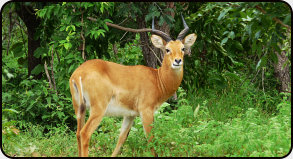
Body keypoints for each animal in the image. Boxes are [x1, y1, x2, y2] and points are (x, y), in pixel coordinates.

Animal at [69, 15, 196, 157]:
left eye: (182, 48)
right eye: (167, 49)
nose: (178, 61)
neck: (158, 79)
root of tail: (78, 74)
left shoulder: (130, 115)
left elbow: (121, 139)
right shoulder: (146, 111)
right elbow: (151, 139)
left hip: (79, 108)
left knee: (78, 134)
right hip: (98, 109)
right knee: (85, 133)